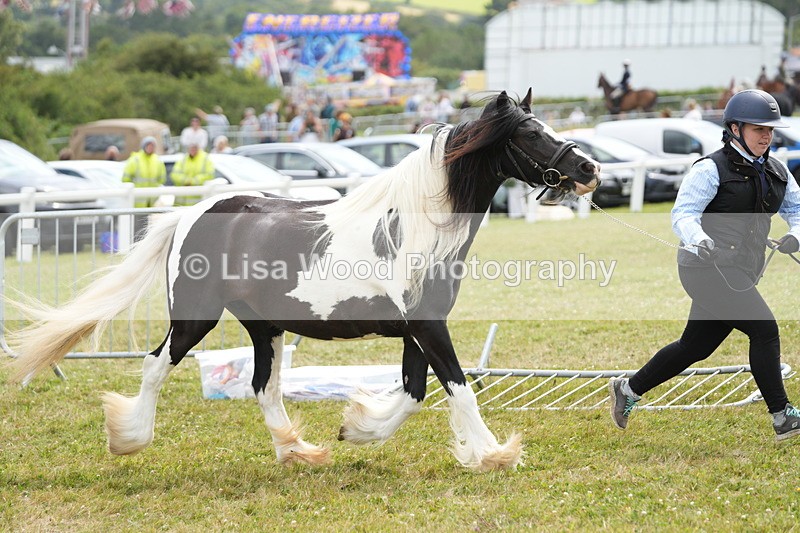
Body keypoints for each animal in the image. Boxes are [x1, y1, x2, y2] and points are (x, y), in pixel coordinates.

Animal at [9, 89, 601, 472]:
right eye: (530, 133)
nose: (590, 169)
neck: (414, 226)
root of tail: (191, 214)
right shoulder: (429, 327)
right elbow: (457, 388)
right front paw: (494, 453)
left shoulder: (418, 330)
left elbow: (414, 392)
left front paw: (356, 428)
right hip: (196, 317)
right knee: (156, 365)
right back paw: (129, 439)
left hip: (263, 326)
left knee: (263, 386)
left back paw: (300, 451)